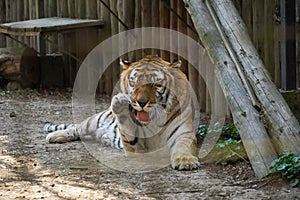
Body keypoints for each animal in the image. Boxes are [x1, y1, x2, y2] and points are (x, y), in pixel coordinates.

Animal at [44, 55, 199, 170]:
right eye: (133, 83)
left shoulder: (185, 133)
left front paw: (186, 161)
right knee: (76, 128)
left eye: (156, 84)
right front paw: (120, 103)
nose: (141, 102)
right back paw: (54, 136)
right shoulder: (138, 149)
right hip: (93, 120)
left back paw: (105, 138)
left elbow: (183, 146)